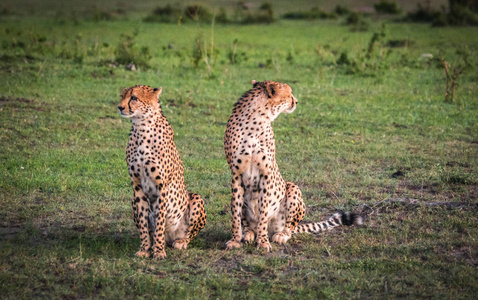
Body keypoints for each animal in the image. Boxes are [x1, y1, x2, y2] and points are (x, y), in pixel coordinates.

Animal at [118, 84, 206, 258]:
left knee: (188, 234)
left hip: (196, 199)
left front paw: (158, 251)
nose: (120, 107)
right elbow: (144, 223)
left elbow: (159, 222)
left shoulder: (162, 186)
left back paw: (179, 242)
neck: (141, 128)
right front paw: (145, 249)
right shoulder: (137, 186)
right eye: (122, 96)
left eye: (134, 98)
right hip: (132, 200)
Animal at [224, 81, 362, 252]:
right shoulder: (236, 175)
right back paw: (248, 233)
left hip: (292, 188)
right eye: (289, 94)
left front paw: (263, 242)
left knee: (289, 227)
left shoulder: (266, 174)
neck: (256, 119)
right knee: (248, 223)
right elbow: (236, 213)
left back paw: (280, 235)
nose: (296, 101)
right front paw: (235, 240)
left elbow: (263, 212)